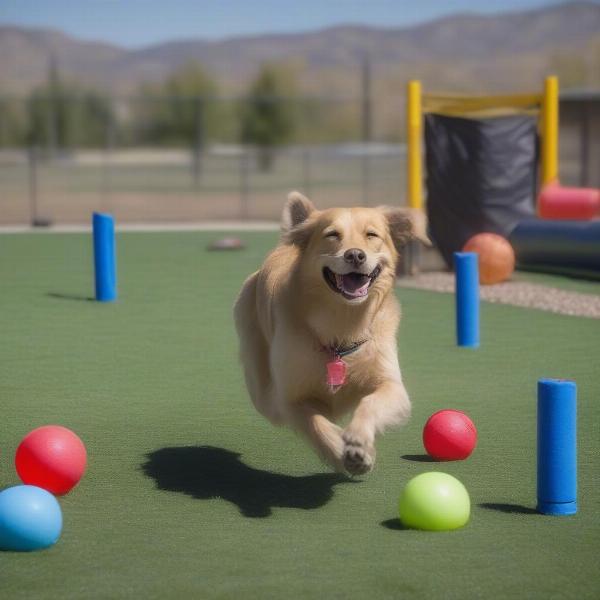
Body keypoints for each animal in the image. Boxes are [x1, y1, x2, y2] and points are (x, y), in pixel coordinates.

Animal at [234, 192, 426, 474]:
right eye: (332, 234)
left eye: (371, 234)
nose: (355, 255)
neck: (343, 322)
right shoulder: (290, 399)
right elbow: (317, 424)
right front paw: (341, 450)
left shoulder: (392, 386)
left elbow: (370, 403)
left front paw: (358, 441)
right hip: (264, 393)